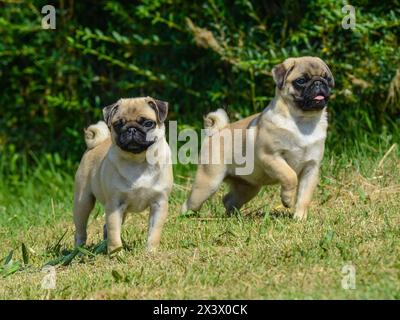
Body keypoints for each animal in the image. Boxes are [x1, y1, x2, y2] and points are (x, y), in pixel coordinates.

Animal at [73, 96, 172, 254]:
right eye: (118, 124)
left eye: (148, 123)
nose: (131, 129)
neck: (138, 161)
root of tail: (97, 144)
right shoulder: (114, 205)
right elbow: (114, 231)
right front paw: (116, 253)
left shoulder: (159, 203)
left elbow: (154, 231)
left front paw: (150, 251)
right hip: (83, 202)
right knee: (81, 230)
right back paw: (79, 250)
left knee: (105, 228)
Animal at [181, 57, 334, 220]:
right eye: (301, 80)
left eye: (327, 78)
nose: (318, 82)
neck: (303, 121)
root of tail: (218, 131)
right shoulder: (270, 156)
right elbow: (290, 176)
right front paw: (287, 200)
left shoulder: (311, 168)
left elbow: (304, 196)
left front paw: (300, 218)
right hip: (208, 183)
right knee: (189, 203)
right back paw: (186, 217)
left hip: (249, 187)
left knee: (229, 199)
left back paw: (234, 217)